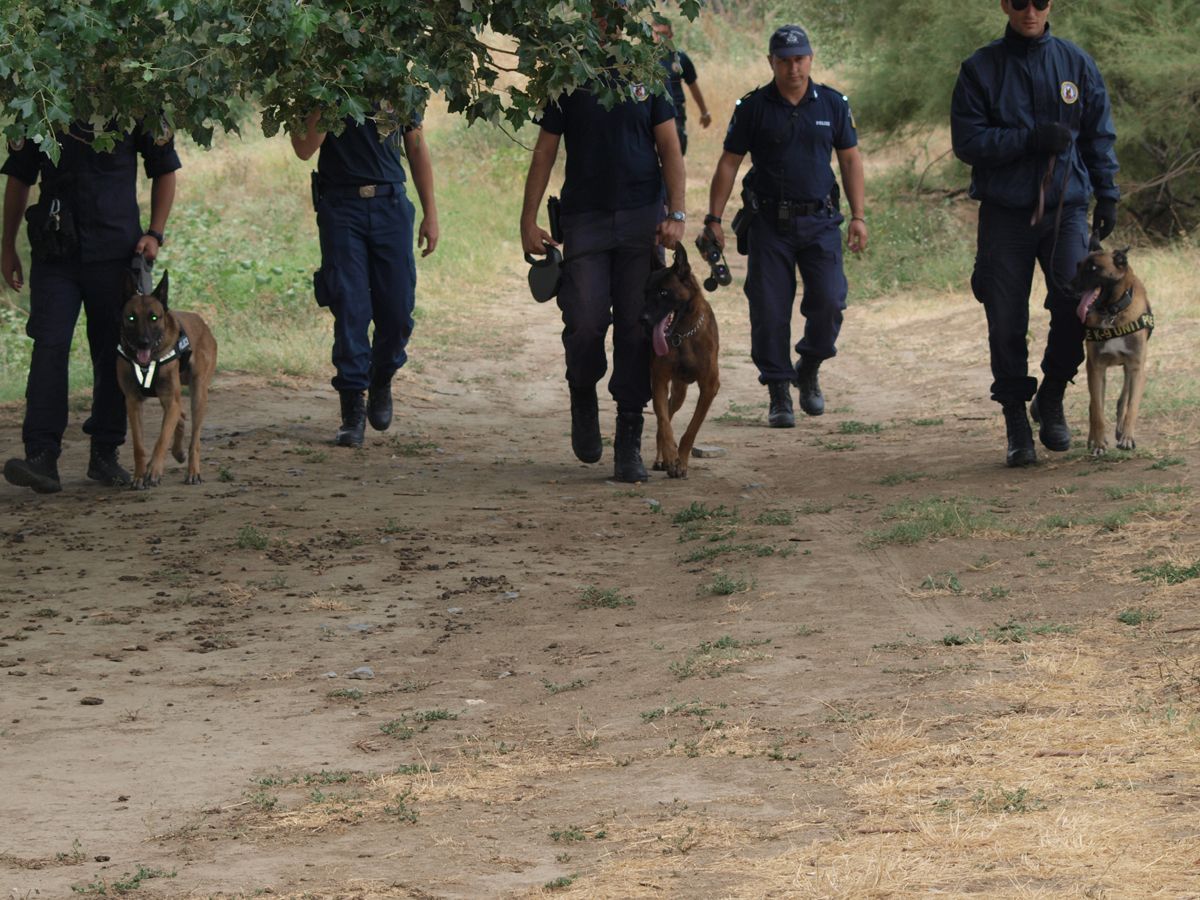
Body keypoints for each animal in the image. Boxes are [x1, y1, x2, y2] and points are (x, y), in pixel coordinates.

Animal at [116, 271, 218, 489]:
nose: (143, 343)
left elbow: (161, 440)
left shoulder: (170, 400)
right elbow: (139, 445)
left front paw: (154, 471)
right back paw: (178, 452)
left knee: (194, 439)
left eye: (154, 317)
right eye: (131, 317)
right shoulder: (133, 402)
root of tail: (202, 322)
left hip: (198, 395)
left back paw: (193, 471)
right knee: (180, 416)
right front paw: (139, 476)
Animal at [643, 243, 715, 482]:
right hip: (673, 390)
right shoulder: (659, 381)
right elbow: (665, 425)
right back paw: (661, 459)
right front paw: (671, 457)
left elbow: (691, 430)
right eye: (645, 292)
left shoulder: (710, 387)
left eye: (664, 292)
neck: (682, 336)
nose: (642, 319)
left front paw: (681, 462)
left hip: (680, 392)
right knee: (663, 418)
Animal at [1070, 244, 1152, 453]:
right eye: (1078, 266)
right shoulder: (1096, 369)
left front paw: (1127, 437)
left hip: (1128, 370)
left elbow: (1132, 406)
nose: (1068, 287)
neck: (1112, 313)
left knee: (1123, 399)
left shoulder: (1137, 368)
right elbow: (1097, 410)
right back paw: (1093, 439)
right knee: (1094, 405)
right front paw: (1098, 443)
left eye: (1093, 268)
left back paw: (1121, 431)